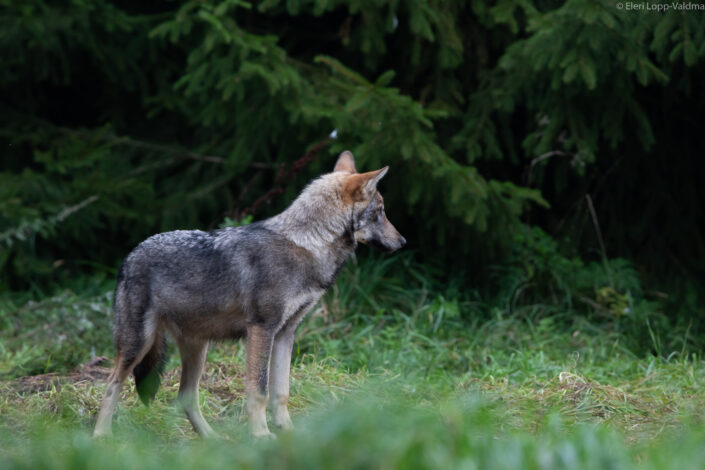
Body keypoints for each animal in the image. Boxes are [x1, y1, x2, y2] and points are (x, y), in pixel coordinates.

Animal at [91, 152, 404, 438]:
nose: (403, 241)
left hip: (197, 348)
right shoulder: (262, 330)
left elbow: (281, 392)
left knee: (185, 398)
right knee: (111, 385)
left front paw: (287, 432)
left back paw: (214, 441)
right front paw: (261, 436)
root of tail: (130, 255)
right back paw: (101, 438)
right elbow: (259, 391)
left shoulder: (285, 333)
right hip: (138, 345)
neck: (307, 244)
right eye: (381, 211)